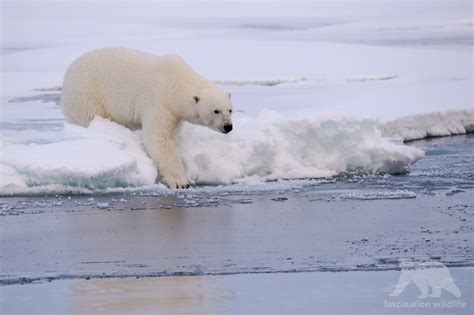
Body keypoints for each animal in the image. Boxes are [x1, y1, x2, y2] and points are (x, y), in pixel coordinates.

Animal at [62, 48, 232, 189]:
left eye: (230, 110)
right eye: (216, 111)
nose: (228, 126)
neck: (176, 82)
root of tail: (68, 74)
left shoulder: (175, 112)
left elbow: (170, 134)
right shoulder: (159, 101)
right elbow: (158, 138)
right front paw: (181, 182)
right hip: (87, 94)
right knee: (88, 116)